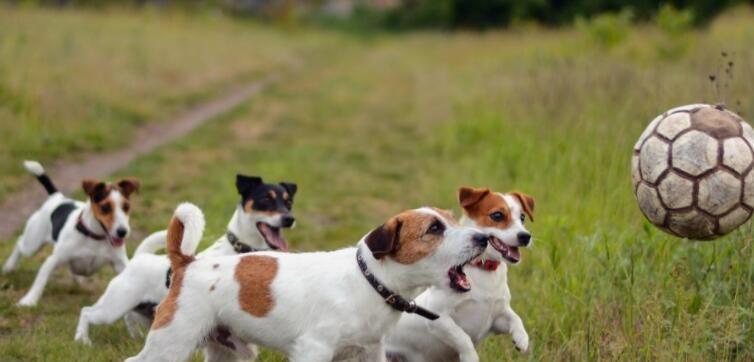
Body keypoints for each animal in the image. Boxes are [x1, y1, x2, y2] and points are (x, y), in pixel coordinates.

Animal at [2, 160, 140, 306]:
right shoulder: (53, 260)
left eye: (126, 207)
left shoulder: (120, 263)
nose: (122, 232)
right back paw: (9, 266)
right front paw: (29, 300)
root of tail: (57, 198)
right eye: (105, 207)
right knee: (19, 243)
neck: (95, 237)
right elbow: (40, 281)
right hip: (32, 243)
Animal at [71, 175, 294, 360]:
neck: (240, 248)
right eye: (265, 200)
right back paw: (83, 339)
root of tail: (141, 256)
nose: (289, 219)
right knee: (87, 312)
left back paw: (135, 336)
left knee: (129, 318)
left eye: (288, 202)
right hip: (113, 307)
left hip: (142, 312)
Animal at [123, 204, 488, 362]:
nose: (484, 238)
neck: (368, 281)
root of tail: (187, 263)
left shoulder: (371, 352)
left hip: (229, 351)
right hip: (171, 342)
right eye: (434, 229)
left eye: (453, 219)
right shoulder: (314, 350)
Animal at [384, 187, 532, 362]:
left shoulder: (497, 317)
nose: (525, 236)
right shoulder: (439, 318)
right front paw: (470, 356)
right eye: (497, 215)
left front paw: (522, 338)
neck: (484, 270)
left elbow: (515, 318)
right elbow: (462, 337)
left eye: (522, 217)